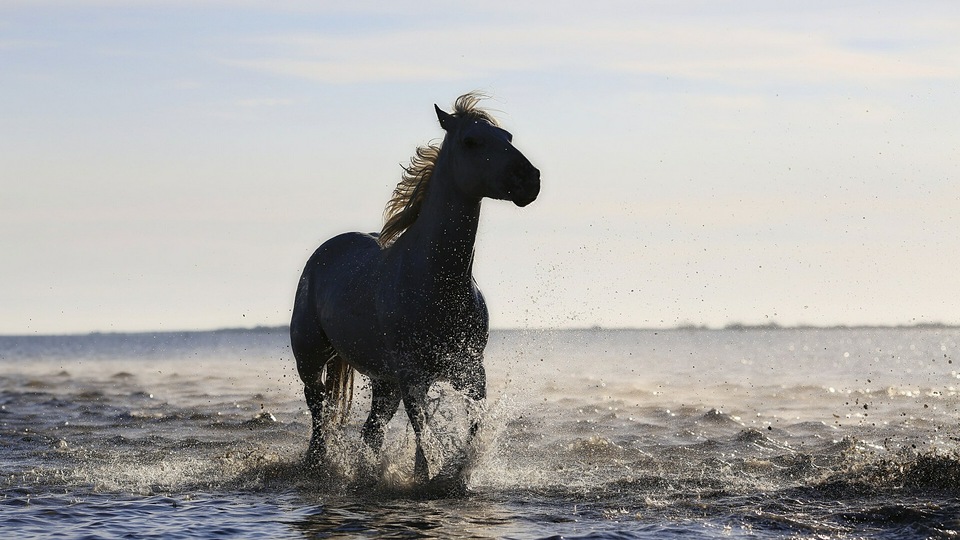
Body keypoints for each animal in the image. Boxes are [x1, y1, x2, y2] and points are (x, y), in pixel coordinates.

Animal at [288, 92, 540, 486]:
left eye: (508, 137)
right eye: (472, 141)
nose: (530, 180)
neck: (438, 281)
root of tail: (323, 253)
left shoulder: (470, 372)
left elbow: (472, 427)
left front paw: (457, 473)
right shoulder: (412, 376)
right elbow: (423, 432)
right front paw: (426, 476)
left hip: (383, 382)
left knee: (371, 431)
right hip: (312, 360)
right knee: (320, 418)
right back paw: (317, 466)